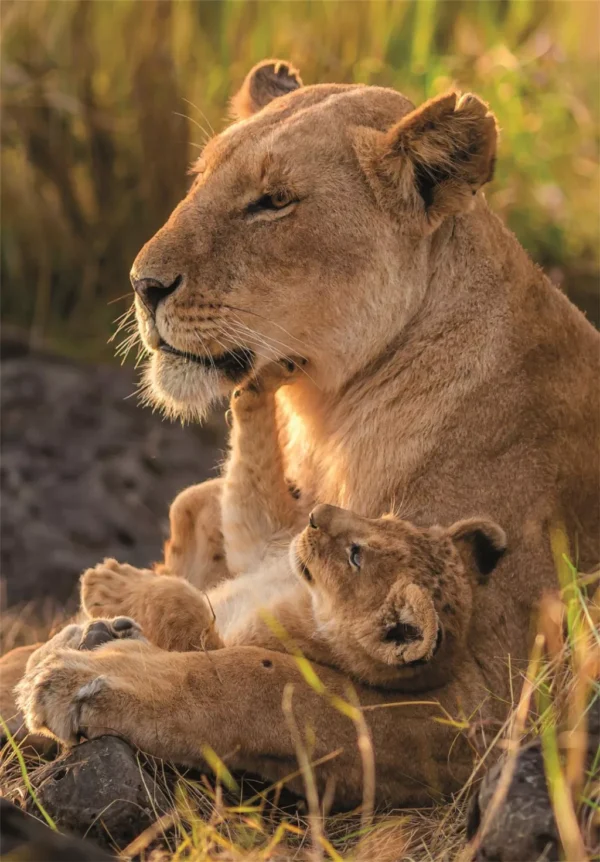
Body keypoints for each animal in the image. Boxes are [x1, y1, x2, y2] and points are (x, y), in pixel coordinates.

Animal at [9, 59, 599, 807]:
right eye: (200, 176)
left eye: (273, 202)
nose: (142, 284)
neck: (334, 416)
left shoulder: (485, 701)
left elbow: (265, 684)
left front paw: (94, 673)